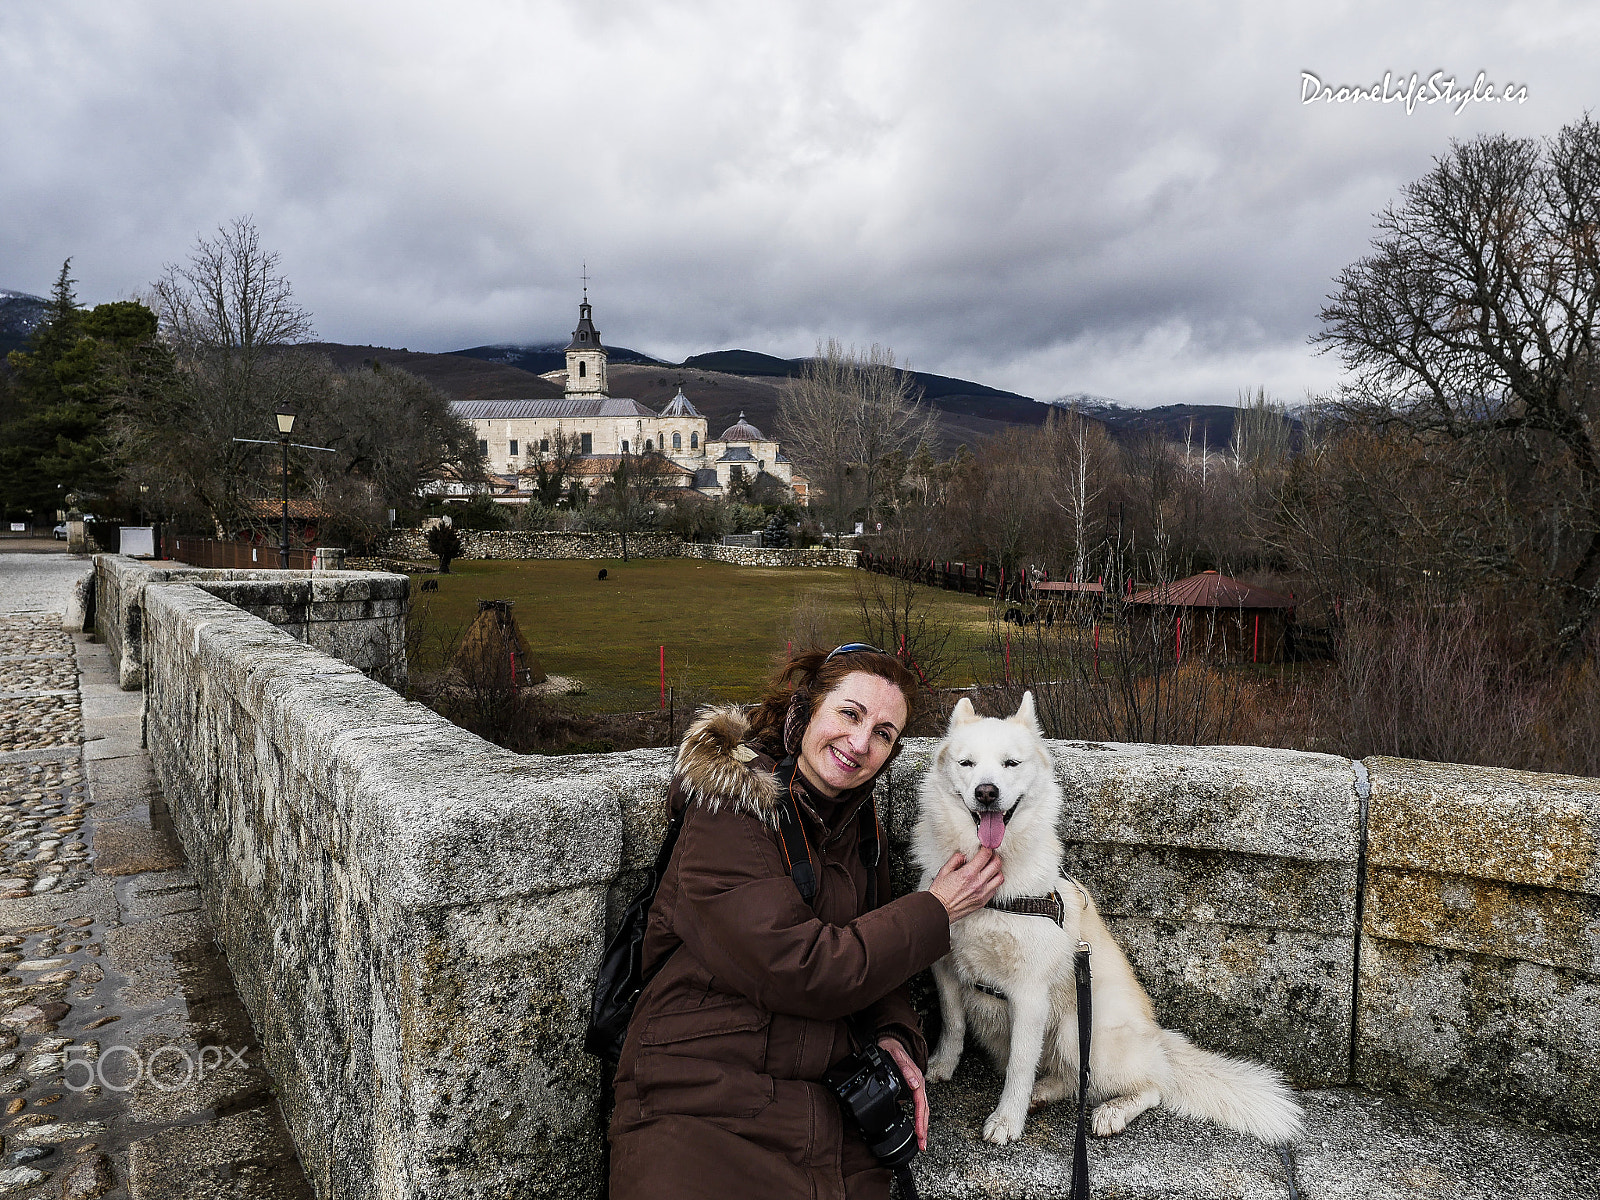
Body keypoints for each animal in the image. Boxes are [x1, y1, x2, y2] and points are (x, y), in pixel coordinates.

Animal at [908, 700, 1305, 1152]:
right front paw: (941, 1066)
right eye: (967, 763)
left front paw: (1007, 1119)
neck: (996, 884)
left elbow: (1019, 1067)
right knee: (1071, 1079)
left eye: (1011, 763)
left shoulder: (1029, 993)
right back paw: (1044, 1093)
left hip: (1075, 1029)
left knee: (1149, 1086)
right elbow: (953, 1023)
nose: (986, 792)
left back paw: (1111, 1112)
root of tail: (1157, 1040)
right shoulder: (945, 966)